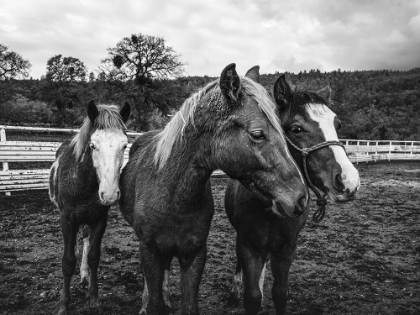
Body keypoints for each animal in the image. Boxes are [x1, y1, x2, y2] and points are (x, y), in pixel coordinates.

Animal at [48, 102, 130, 315]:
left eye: (124, 145)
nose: (110, 194)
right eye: (93, 145)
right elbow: (67, 261)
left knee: (85, 240)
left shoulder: (99, 220)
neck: (83, 182)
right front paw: (64, 304)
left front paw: (94, 298)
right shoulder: (67, 220)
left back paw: (84, 276)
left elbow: (94, 257)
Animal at [118, 63, 308, 315]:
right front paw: (151, 303)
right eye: (257, 134)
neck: (172, 197)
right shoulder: (150, 251)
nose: (301, 197)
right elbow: (154, 300)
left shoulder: (194, 255)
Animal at [225, 68, 360, 314]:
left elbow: (280, 293)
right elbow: (252, 296)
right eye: (296, 129)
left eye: (337, 124)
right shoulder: (249, 244)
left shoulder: (287, 247)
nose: (348, 180)